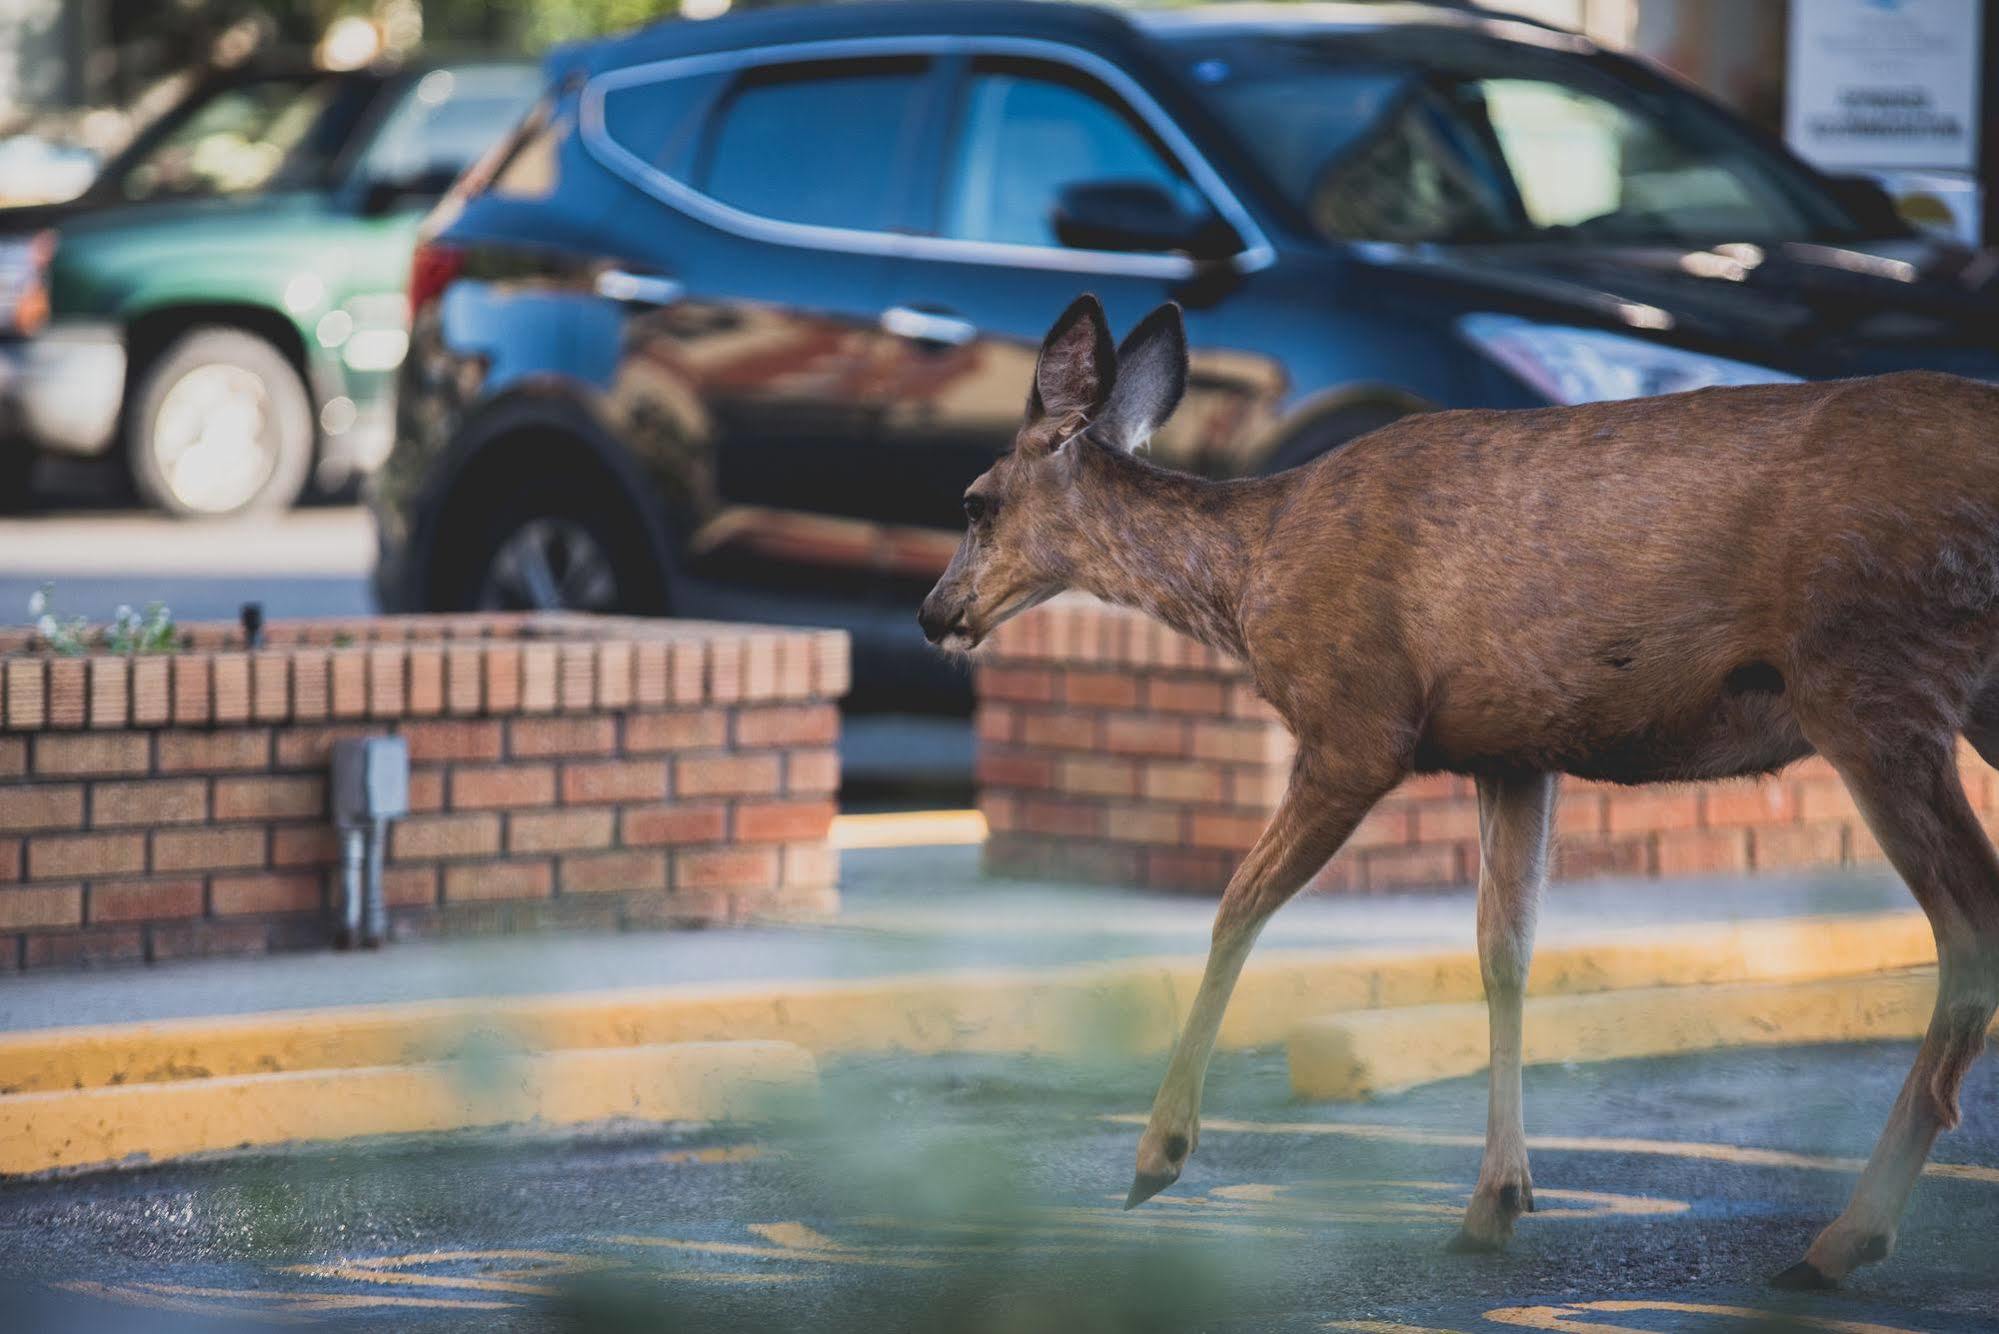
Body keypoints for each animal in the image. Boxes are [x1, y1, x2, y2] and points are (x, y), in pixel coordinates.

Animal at [915, 294, 1999, 1296]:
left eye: (974, 501)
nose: (933, 613)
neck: (1251, 574)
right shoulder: (1513, 749)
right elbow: (1503, 951)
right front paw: (1494, 1201)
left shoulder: (1357, 724)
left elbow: (1237, 905)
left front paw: (1157, 1157)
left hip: (1870, 672)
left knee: (1969, 924)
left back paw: (1841, 1241)